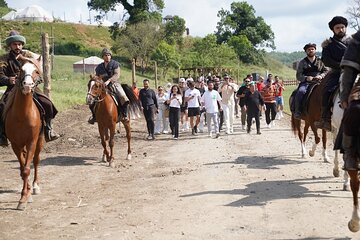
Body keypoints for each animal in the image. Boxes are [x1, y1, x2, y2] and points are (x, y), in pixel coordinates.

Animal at [3, 56, 44, 210]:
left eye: (36, 71)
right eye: (21, 70)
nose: (27, 85)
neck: (22, 115)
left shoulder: (31, 141)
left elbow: (27, 168)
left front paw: (24, 198)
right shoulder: (16, 144)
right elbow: (22, 169)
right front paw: (25, 195)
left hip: (40, 140)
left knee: (36, 161)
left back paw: (35, 186)